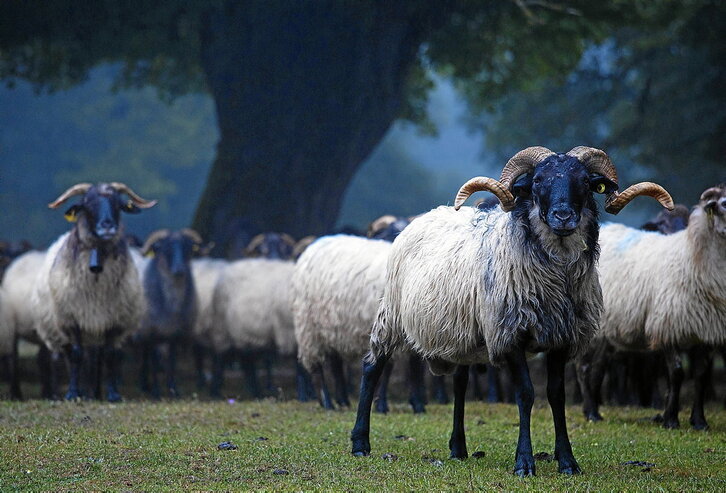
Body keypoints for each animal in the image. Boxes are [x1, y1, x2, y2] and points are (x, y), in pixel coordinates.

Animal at [33, 182, 156, 401]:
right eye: (87, 204)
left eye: (117, 203)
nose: (107, 226)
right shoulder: (71, 319)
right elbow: (76, 354)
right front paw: (73, 393)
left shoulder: (113, 320)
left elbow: (110, 355)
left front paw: (113, 394)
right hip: (57, 328)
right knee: (67, 357)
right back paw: (73, 393)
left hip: (95, 328)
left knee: (95, 358)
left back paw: (95, 393)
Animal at [135, 229, 202, 398]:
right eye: (165, 249)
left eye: (188, 248)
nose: (179, 270)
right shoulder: (151, 333)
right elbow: (154, 363)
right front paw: (156, 392)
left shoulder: (174, 334)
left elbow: (172, 362)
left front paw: (173, 390)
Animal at [350, 146, 673, 476]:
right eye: (538, 180)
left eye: (584, 181)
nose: (563, 216)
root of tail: (425, 215)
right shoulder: (512, 333)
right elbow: (526, 393)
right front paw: (524, 462)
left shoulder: (561, 337)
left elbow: (557, 395)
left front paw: (567, 461)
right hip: (392, 313)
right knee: (373, 366)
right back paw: (361, 443)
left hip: (461, 330)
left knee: (460, 383)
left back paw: (458, 448)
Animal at [578, 184, 726, 430]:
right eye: (723, 204)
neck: (690, 257)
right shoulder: (666, 325)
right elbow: (676, 373)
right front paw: (671, 419)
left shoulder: (704, 331)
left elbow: (701, 376)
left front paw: (699, 421)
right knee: (583, 367)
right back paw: (590, 412)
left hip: (608, 332)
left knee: (598, 369)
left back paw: (596, 412)